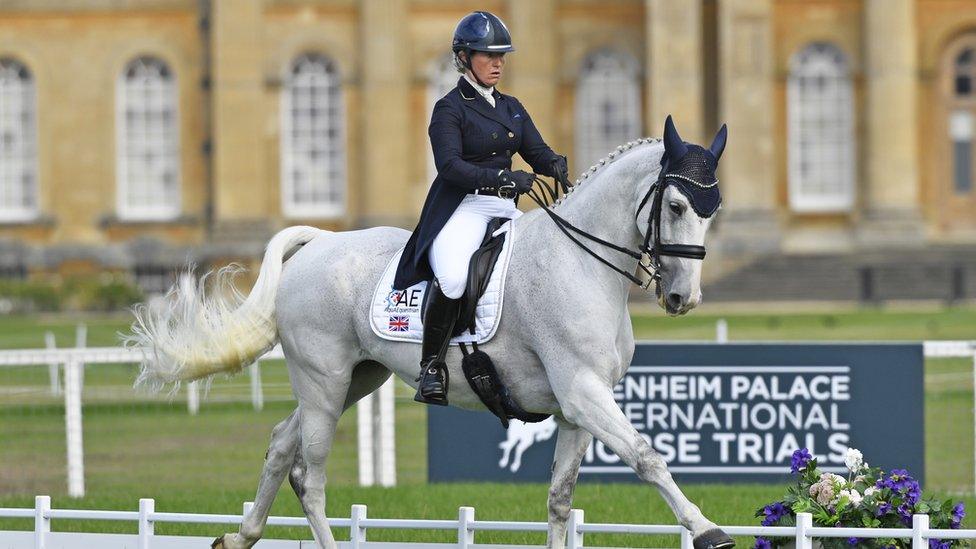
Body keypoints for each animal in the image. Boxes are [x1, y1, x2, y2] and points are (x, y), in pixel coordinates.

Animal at [127, 120, 732, 548]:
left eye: (713, 210)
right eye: (676, 205)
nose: (683, 298)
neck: (581, 262)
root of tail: (322, 241)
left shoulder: (576, 408)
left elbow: (560, 499)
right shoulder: (584, 392)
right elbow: (647, 457)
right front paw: (708, 530)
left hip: (353, 380)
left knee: (280, 446)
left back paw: (240, 536)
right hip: (324, 383)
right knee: (310, 476)